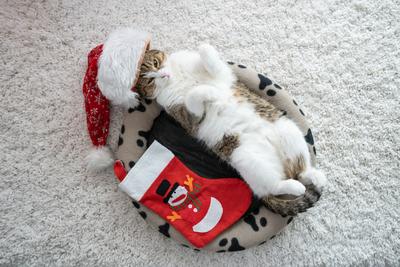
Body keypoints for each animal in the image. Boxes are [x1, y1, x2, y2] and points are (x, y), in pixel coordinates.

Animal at [136, 46, 326, 218]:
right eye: (149, 82)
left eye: (156, 63)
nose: (163, 75)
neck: (177, 78)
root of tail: (284, 167)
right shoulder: (190, 117)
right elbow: (193, 95)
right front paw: (210, 93)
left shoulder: (222, 74)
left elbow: (208, 53)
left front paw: (202, 51)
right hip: (246, 158)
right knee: (272, 187)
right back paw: (296, 186)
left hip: (286, 129)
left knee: (301, 169)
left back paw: (314, 176)